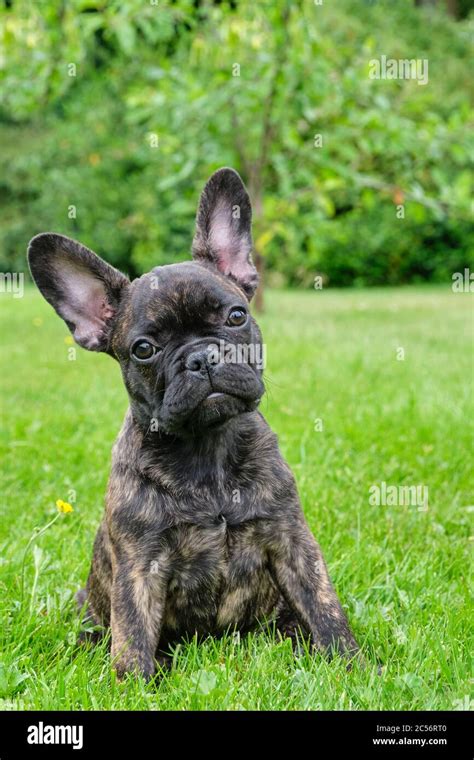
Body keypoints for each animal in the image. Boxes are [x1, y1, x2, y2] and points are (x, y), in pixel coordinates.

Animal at [26, 166, 360, 676]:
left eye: (237, 315)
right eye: (144, 348)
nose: (201, 357)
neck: (208, 448)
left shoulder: (292, 541)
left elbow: (324, 607)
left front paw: (356, 666)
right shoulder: (140, 564)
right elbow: (133, 636)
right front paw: (135, 685)